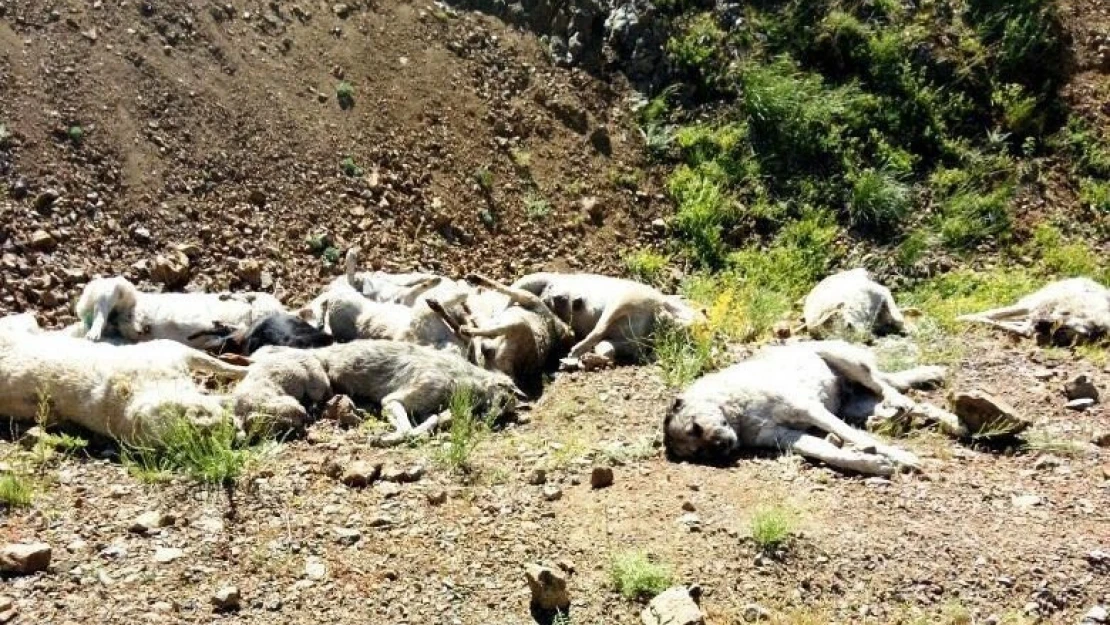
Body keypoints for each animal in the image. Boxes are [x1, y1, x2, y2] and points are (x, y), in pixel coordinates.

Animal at [510, 273, 701, 366]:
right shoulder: (624, 300)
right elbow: (599, 329)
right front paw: (572, 354)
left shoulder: (626, 343)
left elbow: (606, 348)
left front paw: (586, 358)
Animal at [661, 339, 959, 477]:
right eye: (699, 454)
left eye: (696, 427)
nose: (720, 448)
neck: (739, 415)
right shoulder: (787, 437)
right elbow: (831, 453)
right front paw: (872, 464)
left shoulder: (809, 409)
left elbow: (853, 436)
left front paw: (898, 456)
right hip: (857, 406)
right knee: (912, 404)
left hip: (846, 359)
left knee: (888, 386)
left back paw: (903, 403)